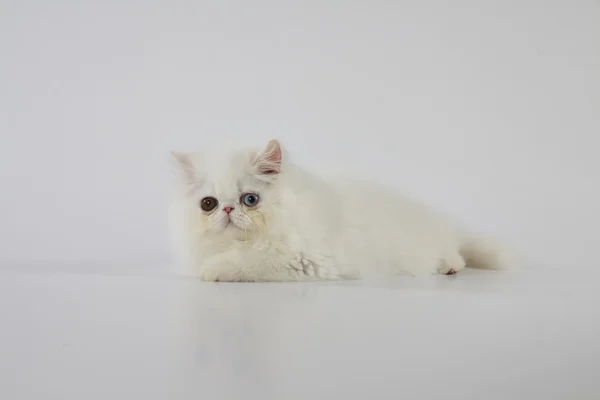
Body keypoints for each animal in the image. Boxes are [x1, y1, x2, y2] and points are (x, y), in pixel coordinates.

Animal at [168, 140, 510, 282]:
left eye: (249, 200)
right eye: (209, 204)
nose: (227, 209)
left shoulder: (305, 260)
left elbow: (247, 262)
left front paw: (213, 270)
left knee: (457, 256)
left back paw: (449, 267)